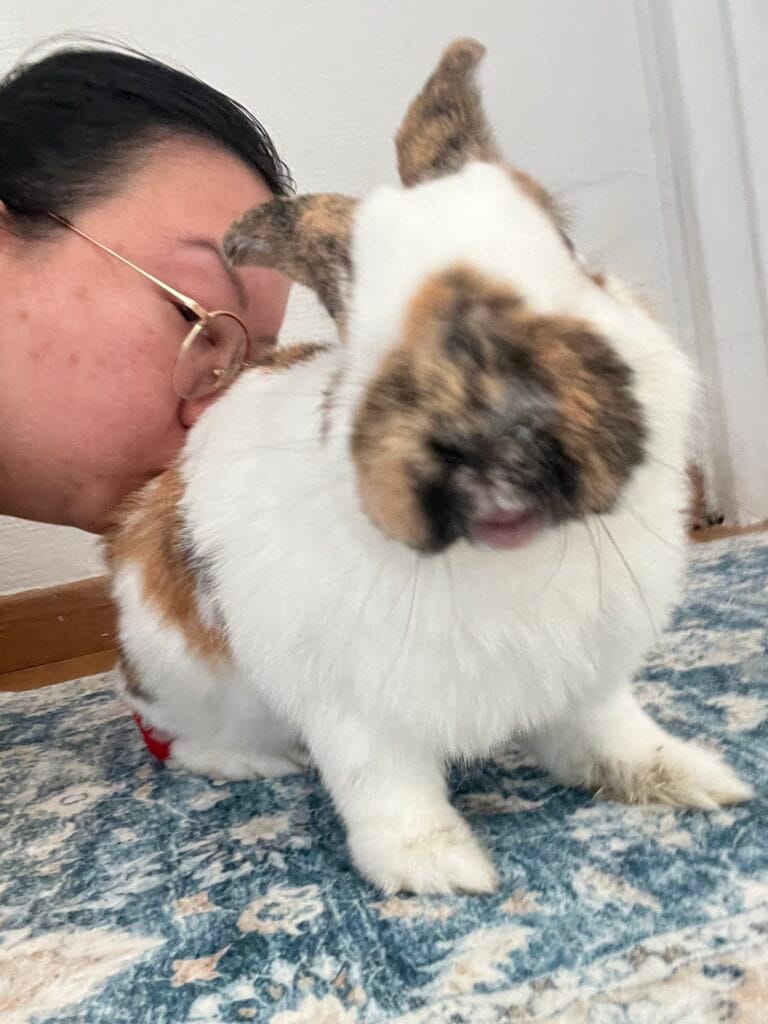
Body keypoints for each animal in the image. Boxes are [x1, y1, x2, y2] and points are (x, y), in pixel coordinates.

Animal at [106, 39, 752, 896]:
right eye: (355, 308)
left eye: (566, 245)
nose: (489, 416)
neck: (502, 561)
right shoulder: (355, 711)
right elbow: (390, 794)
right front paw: (443, 872)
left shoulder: (584, 681)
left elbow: (615, 738)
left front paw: (697, 778)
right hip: (186, 675)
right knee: (187, 745)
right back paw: (265, 763)